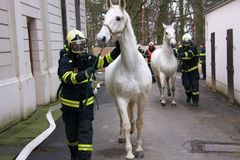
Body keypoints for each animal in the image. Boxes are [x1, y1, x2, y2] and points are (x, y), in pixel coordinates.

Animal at [96, 0, 151, 159]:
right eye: (104, 17)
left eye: (118, 18)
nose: (100, 38)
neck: (132, 67)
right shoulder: (121, 99)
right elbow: (125, 124)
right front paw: (129, 152)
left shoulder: (142, 98)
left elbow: (139, 122)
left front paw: (139, 149)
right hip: (117, 100)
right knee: (121, 117)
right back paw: (121, 136)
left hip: (133, 99)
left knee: (131, 114)